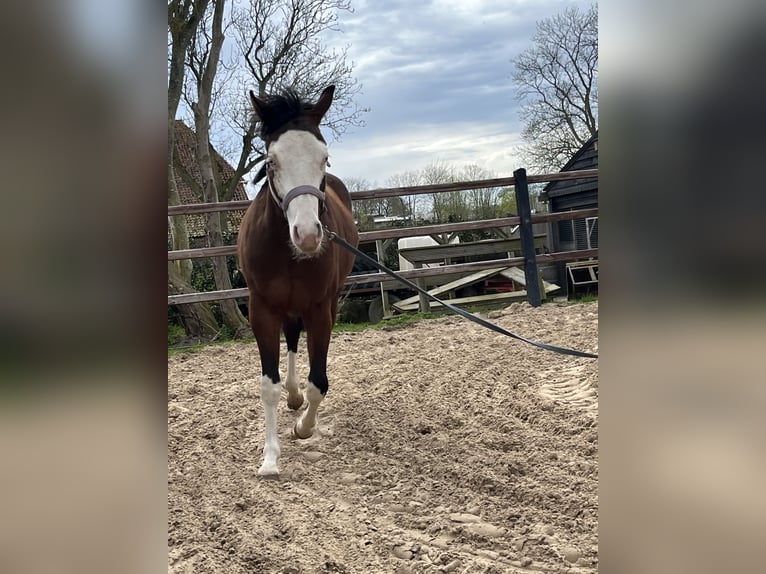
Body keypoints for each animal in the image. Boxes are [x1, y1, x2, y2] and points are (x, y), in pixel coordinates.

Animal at [237, 85, 359, 477]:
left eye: (324, 158)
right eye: (272, 161)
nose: (307, 235)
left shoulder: (320, 309)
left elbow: (319, 382)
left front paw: (304, 428)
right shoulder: (261, 309)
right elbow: (269, 386)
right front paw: (270, 459)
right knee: (290, 340)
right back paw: (293, 396)